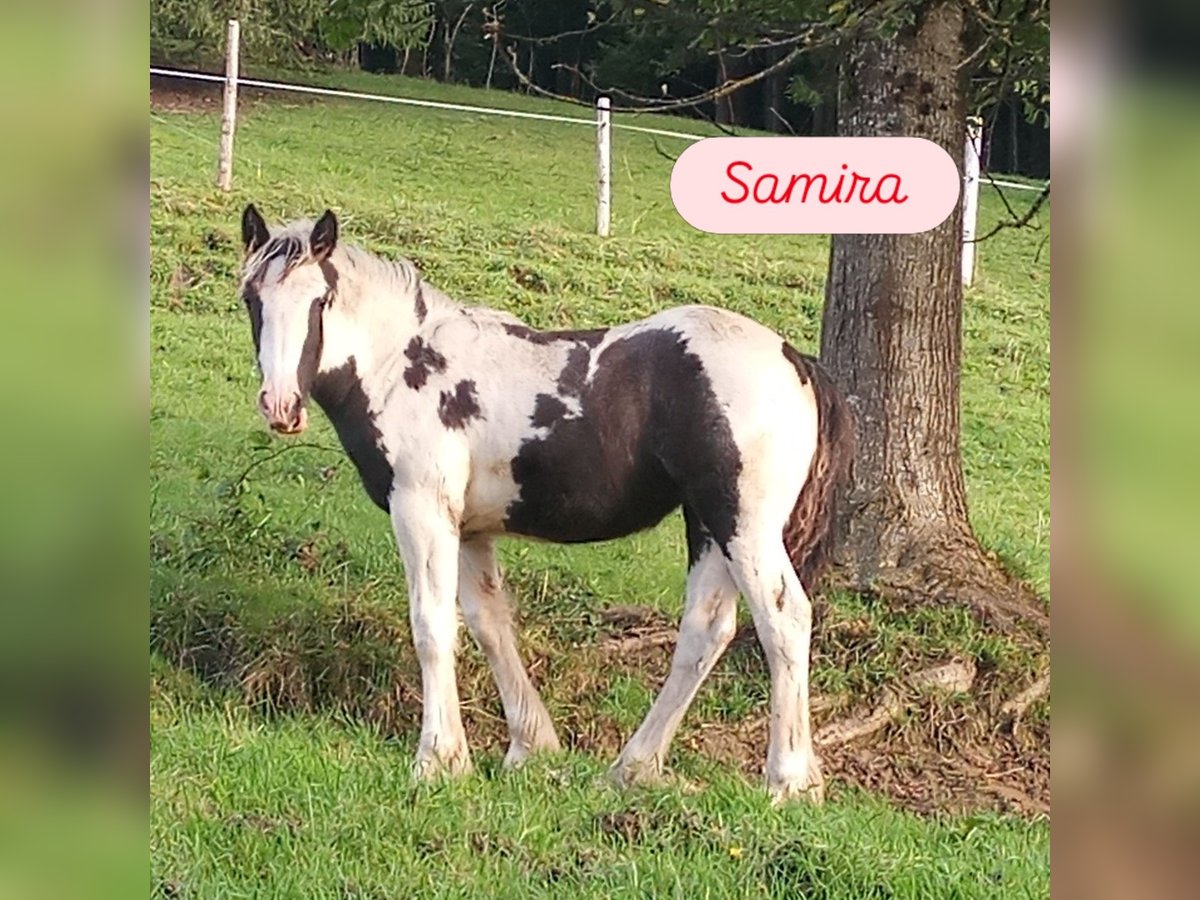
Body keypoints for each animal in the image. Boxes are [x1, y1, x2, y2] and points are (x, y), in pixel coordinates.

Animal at [236, 202, 854, 801]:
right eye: (251, 297)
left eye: (320, 300)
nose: (281, 405)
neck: (401, 366)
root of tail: (794, 359)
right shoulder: (469, 528)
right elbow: (489, 625)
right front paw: (528, 747)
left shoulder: (421, 509)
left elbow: (432, 626)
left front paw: (437, 760)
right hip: (708, 526)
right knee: (706, 631)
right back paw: (634, 768)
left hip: (742, 527)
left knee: (784, 618)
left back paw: (788, 782)